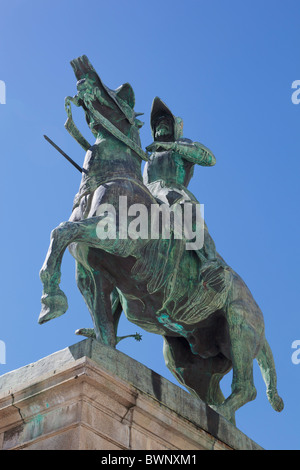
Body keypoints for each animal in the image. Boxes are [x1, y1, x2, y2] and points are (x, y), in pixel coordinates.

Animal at [38, 55, 282, 422]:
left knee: (245, 388)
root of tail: (259, 314)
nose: (82, 73)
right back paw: (219, 417)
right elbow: (103, 322)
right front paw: (84, 330)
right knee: (216, 394)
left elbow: (62, 230)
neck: (110, 179)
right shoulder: (92, 273)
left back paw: (221, 412)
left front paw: (52, 301)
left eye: (119, 95)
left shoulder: (117, 239)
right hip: (186, 361)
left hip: (240, 326)